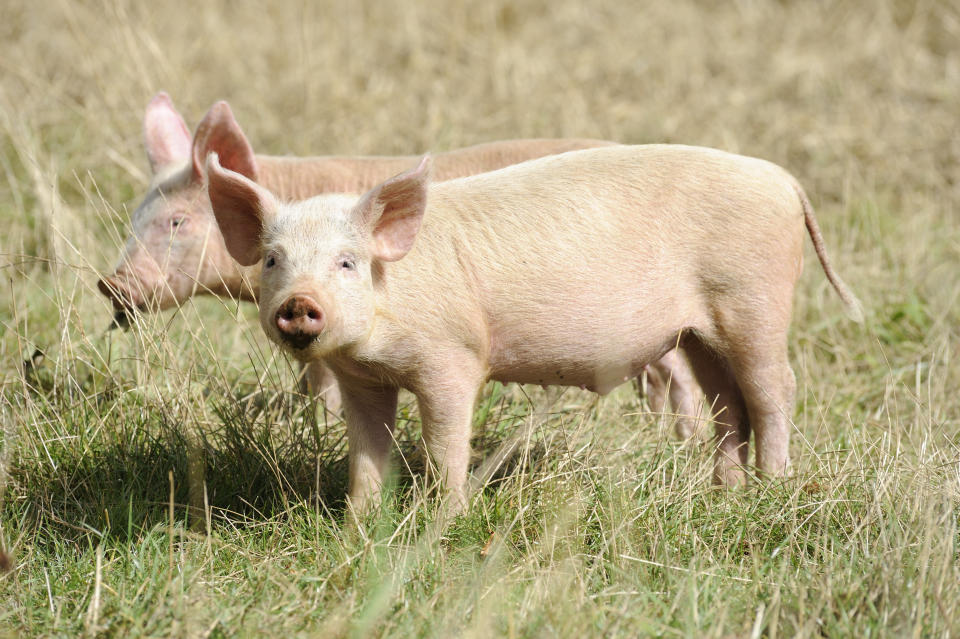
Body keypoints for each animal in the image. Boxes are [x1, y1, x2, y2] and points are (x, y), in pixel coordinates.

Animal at [204, 146, 864, 516]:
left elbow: (446, 440)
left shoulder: (453, 357)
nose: (299, 304)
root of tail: (782, 179)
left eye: (346, 261)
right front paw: (358, 525)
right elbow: (367, 449)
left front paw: (447, 518)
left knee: (775, 389)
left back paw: (773, 489)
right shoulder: (361, 377)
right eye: (273, 260)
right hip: (701, 331)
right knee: (730, 402)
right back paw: (726, 492)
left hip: (754, 300)